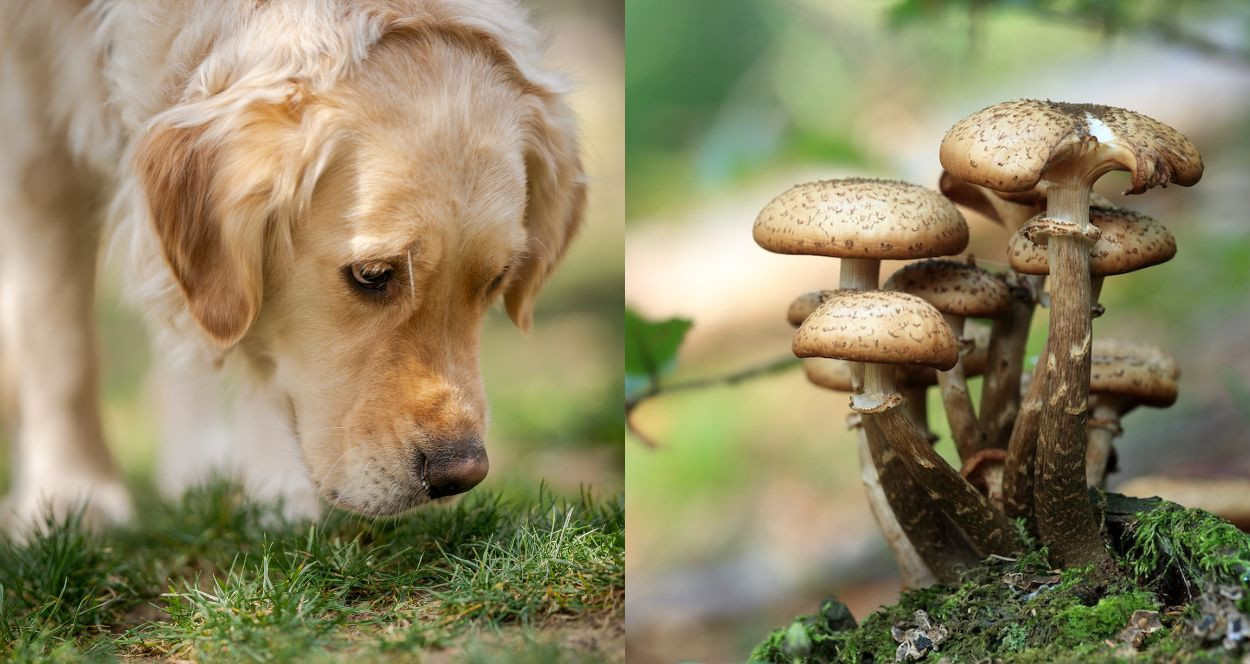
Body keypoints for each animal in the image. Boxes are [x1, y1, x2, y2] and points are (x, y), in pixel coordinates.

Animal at [0, 0, 585, 530]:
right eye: (372, 276)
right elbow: (62, 346)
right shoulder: (30, 122)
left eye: (496, 281)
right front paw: (71, 494)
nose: (459, 474)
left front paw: (276, 492)